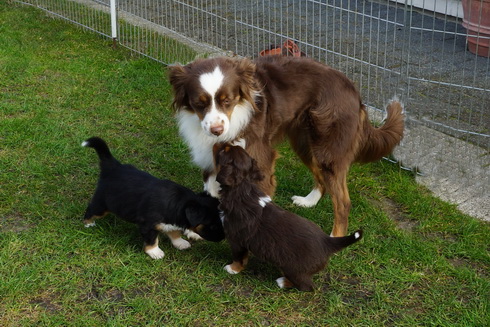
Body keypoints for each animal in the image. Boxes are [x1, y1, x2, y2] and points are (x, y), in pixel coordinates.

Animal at [82, 137, 224, 260]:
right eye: (213, 225)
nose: (222, 238)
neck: (178, 203)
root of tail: (113, 166)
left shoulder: (172, 221)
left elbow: (175, 232)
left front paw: (180, 243)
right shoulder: (148, 224)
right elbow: (152, 240)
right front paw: (155, 252)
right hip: (102, 203)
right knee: (90, 210)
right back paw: (89, 224)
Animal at [170, 55, 404, 236]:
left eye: (227, 100)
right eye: (199, 103)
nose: (216, 130)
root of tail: (355, 92)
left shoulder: (259, 162)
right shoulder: (210, 160)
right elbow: (211, 193)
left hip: (328, 152)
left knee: (343, 202)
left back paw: (335, 238)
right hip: (305, 144)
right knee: (321, 180)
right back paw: (308, 202)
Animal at [215, 145, 364, 290]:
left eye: (225, 151)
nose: (220, 145)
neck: (243, 187)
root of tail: (327, 242)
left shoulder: (236, 239)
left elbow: (239, 257)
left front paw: (232, 269)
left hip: (294, 269)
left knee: (308, 286)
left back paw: (283, 282)